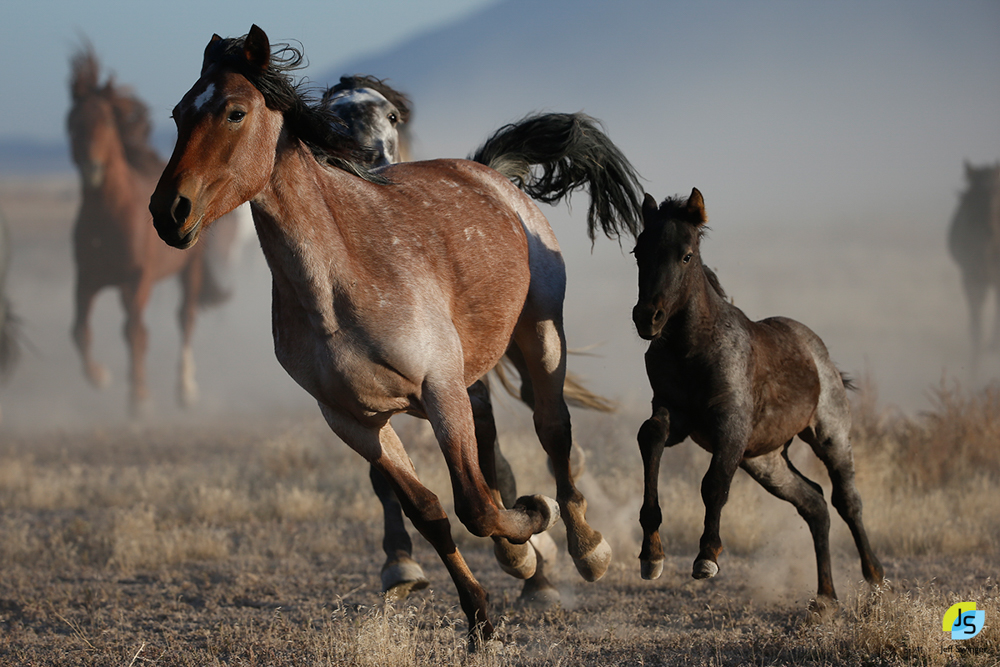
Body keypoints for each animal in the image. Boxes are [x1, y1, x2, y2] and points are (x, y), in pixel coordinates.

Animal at [632, 188, 884, 612]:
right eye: (638, 251)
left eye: (686, 255)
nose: (647, 317)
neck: (692, 348)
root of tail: (819, 353)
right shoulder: (674, 415)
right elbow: (650, 439)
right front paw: (651, 556)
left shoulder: (731, 425)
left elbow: (714, 483)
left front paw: (707, 557)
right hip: (765, 461)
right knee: (814, 505)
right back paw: (825, 599)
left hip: (830, 433)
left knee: (846, 500)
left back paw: (875, 578)